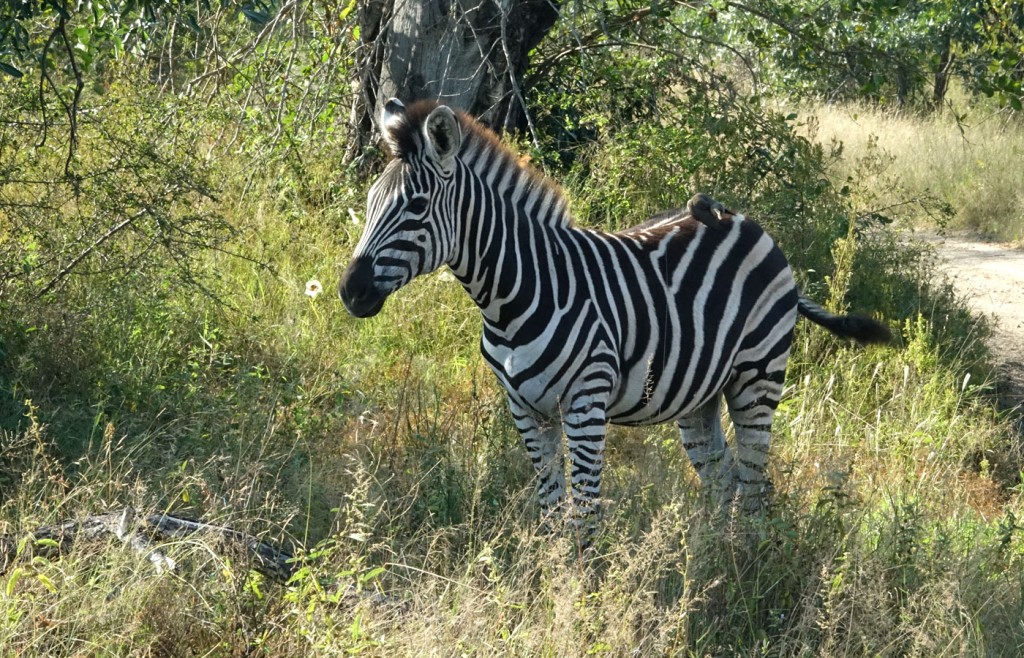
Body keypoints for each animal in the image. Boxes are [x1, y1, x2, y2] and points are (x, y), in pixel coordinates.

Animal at [337, 97, 888, 536]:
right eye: (369, 201)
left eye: (416, 206)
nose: (349, 291)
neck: (513, 296)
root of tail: (741, 219)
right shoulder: (525, 409)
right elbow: (551, 510)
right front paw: (551, 585)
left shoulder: (586, 404)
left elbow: (585, 516)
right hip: (700, 396)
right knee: (724, 481)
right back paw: (708, 568)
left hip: (758, 377)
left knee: (754, 486)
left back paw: (741, 572)